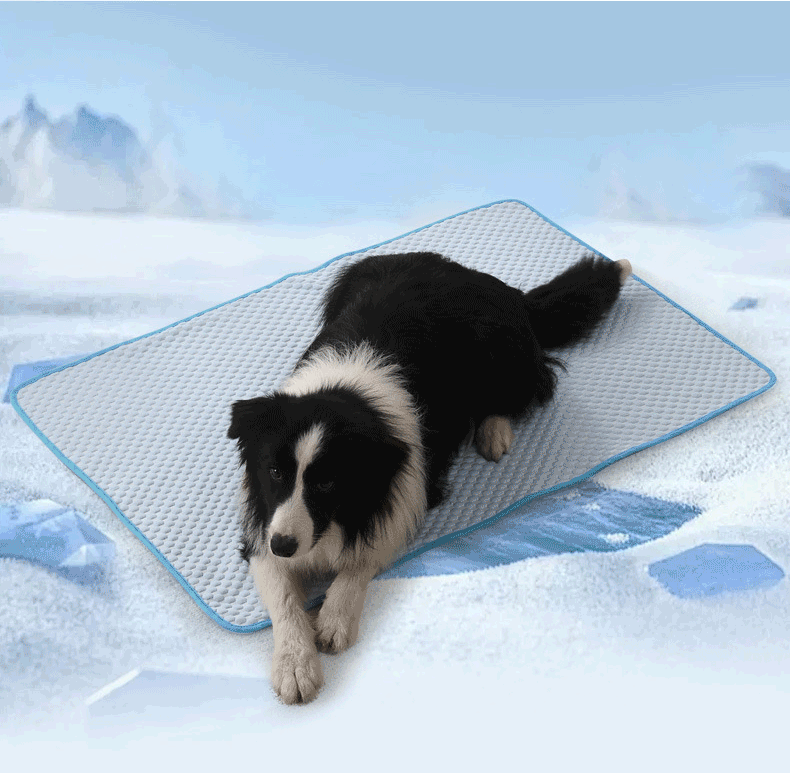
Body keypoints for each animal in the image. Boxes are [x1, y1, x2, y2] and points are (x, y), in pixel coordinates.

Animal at [227, 250, 632, 704]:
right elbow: (283, 596)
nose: (285, 545)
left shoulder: (409, 489)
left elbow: (364, 556)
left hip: (502, 351)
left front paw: (334, 617)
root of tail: (499, 288)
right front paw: (295, 665)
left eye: (328, 482)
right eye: (275, 471)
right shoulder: (263, 525)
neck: (347, 395)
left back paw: (494, 430)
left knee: (529, 386)